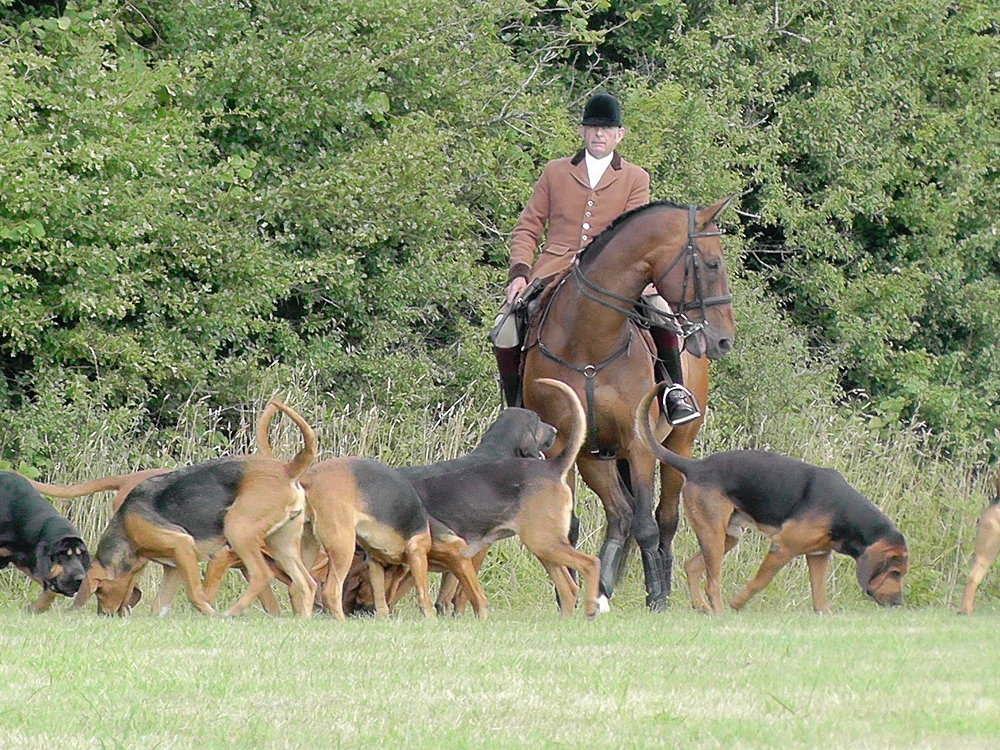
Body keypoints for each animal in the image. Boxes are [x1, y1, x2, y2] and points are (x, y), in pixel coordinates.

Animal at [0, 471, 91, 612]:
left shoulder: (28, 561)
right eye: (63, 556)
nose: (80, 579)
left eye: (81, 555)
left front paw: (37, 607)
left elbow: (50, 589)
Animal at [84, 399, 318, 617]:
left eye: (99, 591)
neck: (125, 525)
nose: (103, 615)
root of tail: (287, 469)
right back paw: (302, 619)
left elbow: (195, 595)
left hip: (239, 531)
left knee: (261, 575)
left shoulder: (182, 546)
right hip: (282, 544)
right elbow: (158, 606)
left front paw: (209, 613)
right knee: (306, 584)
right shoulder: (174, 567)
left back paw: (233, 612)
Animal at [402, 378, 601, 619]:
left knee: (591, 563)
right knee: (569, 588)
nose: (554, 430)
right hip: (545, 547)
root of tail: (552, 467)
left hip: (544, 543)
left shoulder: (473, 550)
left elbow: (460, 594)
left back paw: (591, 609)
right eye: (538, 422)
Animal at [521, 197, 735, 612]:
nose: (722, 340)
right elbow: (569, 525)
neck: (588, 339)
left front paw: (656, 598)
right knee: (619, 514)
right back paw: (600, 588)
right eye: (712, 264)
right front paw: (568, 594)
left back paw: (661, 586)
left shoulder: (639, 446)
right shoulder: (563, 446)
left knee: (664, 519)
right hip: (595, 456)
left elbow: (647, 525)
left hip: (677, 445)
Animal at [636, 383, 909, 614]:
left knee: (691, 567)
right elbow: (760, 581)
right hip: (713, 535)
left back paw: (702, 608)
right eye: (895, 572)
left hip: (727, 536)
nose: (898, 602)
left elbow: (820, 598)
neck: (845, 513)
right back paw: (721, 613)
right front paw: (738, 602)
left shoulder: (819, 556)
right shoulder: (781, 548)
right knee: (712, 583)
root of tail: (695, 466)